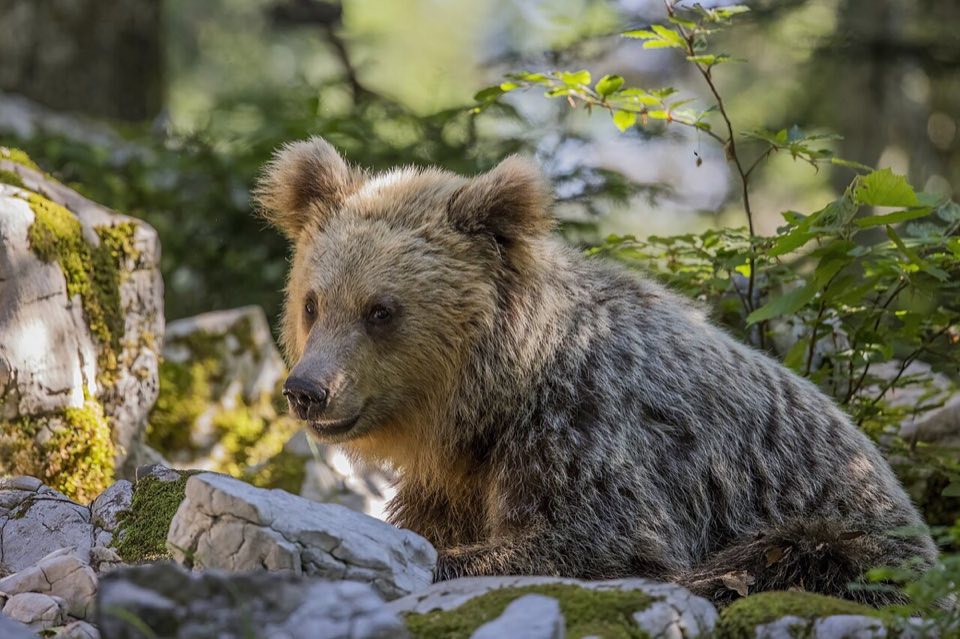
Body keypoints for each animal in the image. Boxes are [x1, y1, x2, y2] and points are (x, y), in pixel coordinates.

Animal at [255, 136, 938, 605]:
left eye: (380, 310)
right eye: (314, 302)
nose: (307, 390)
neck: (489, 407)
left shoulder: (591, 433)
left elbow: (592, 545)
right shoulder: (455, 481)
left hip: (858, 537)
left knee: (793, 557)